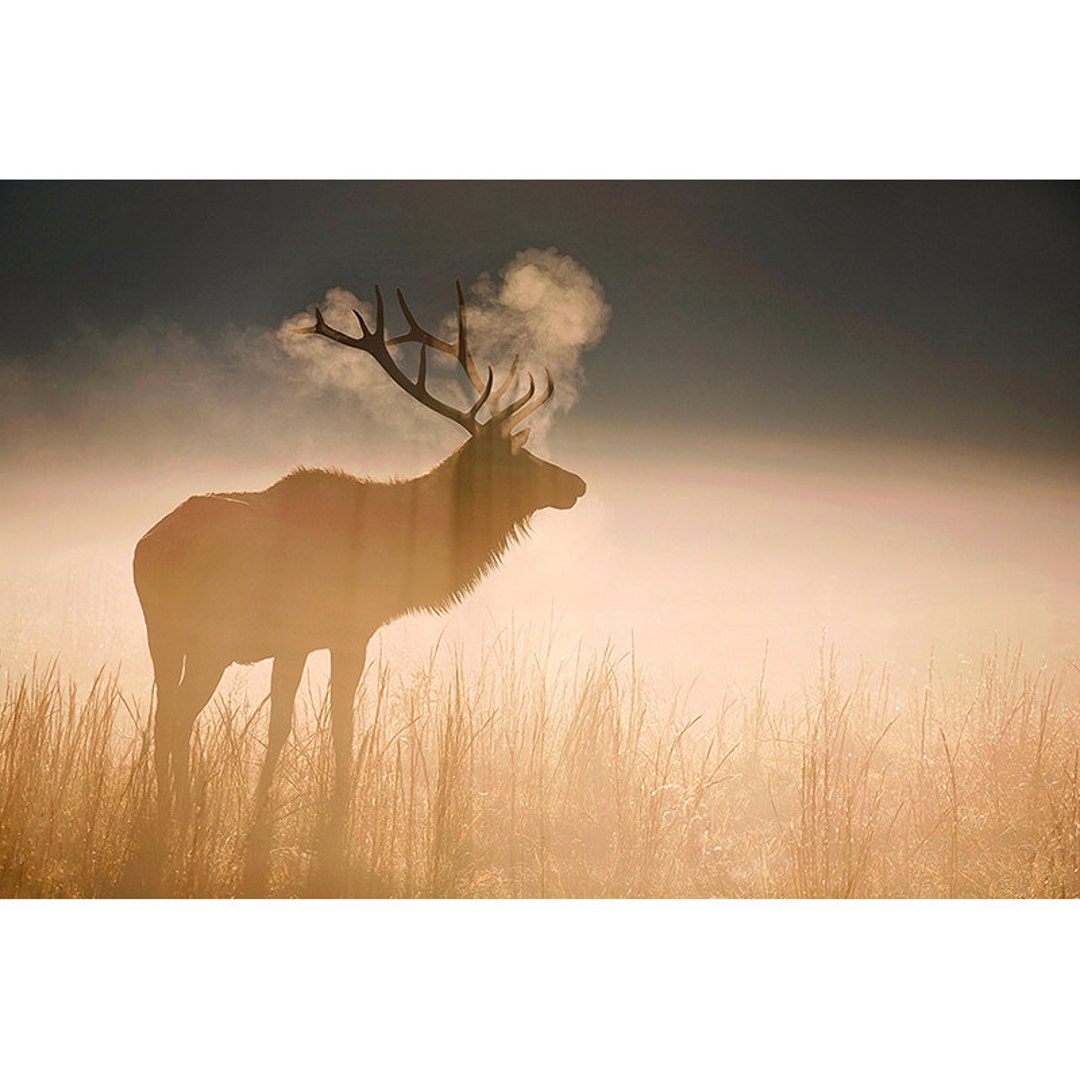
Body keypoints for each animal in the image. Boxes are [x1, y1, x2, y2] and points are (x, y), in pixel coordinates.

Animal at [133, 282, 586, 855]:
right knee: (177, 717)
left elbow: (297, 723)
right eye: (513, 458)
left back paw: (170, 808)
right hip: (209, 636)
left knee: (165, 715)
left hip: (164, 635)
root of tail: (146, 548)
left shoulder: (308, 640)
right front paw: (324, 817)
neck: (397, 548)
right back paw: (177, 813)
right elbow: (325, 724)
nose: (577, 483)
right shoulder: (338, 631)